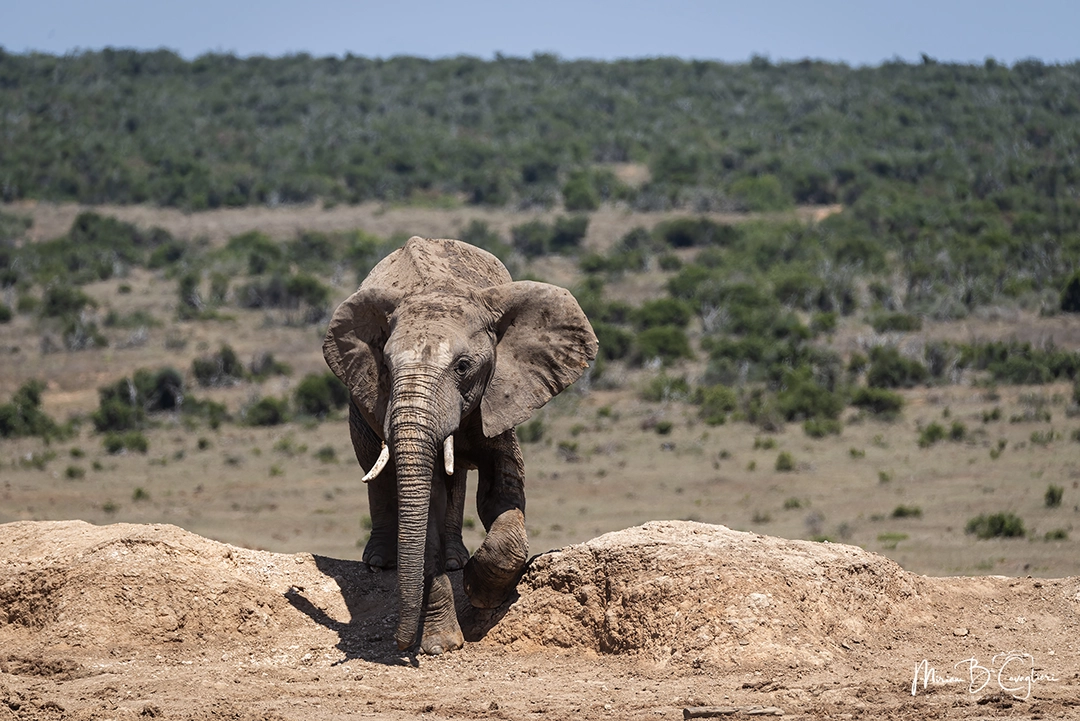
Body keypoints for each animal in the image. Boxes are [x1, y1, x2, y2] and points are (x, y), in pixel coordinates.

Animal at [323, 236, 598, 655]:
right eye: (385, 366)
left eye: (463, 367)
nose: (400, 644)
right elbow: (428, 503)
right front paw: (441, 645)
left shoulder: (501, 391)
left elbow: (502, 489)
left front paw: (477, 589)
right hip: (360, 401)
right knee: (375, 465)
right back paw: (381, 562)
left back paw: (456, 561)